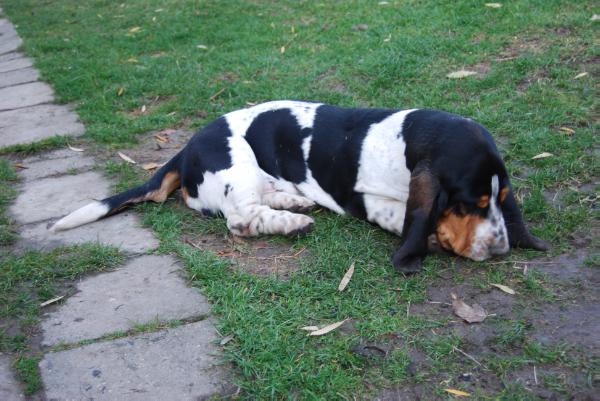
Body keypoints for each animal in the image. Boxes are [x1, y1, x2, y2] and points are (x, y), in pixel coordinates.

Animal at [51, 101, 548, 274]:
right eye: (471, 202)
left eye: (501, 199)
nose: (501, 249)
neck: (408, 139)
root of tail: (185, 149)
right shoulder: (366, 199)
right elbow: (405, 216)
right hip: (238, 164)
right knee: (239, 219)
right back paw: (291, 223)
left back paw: (294, 201)